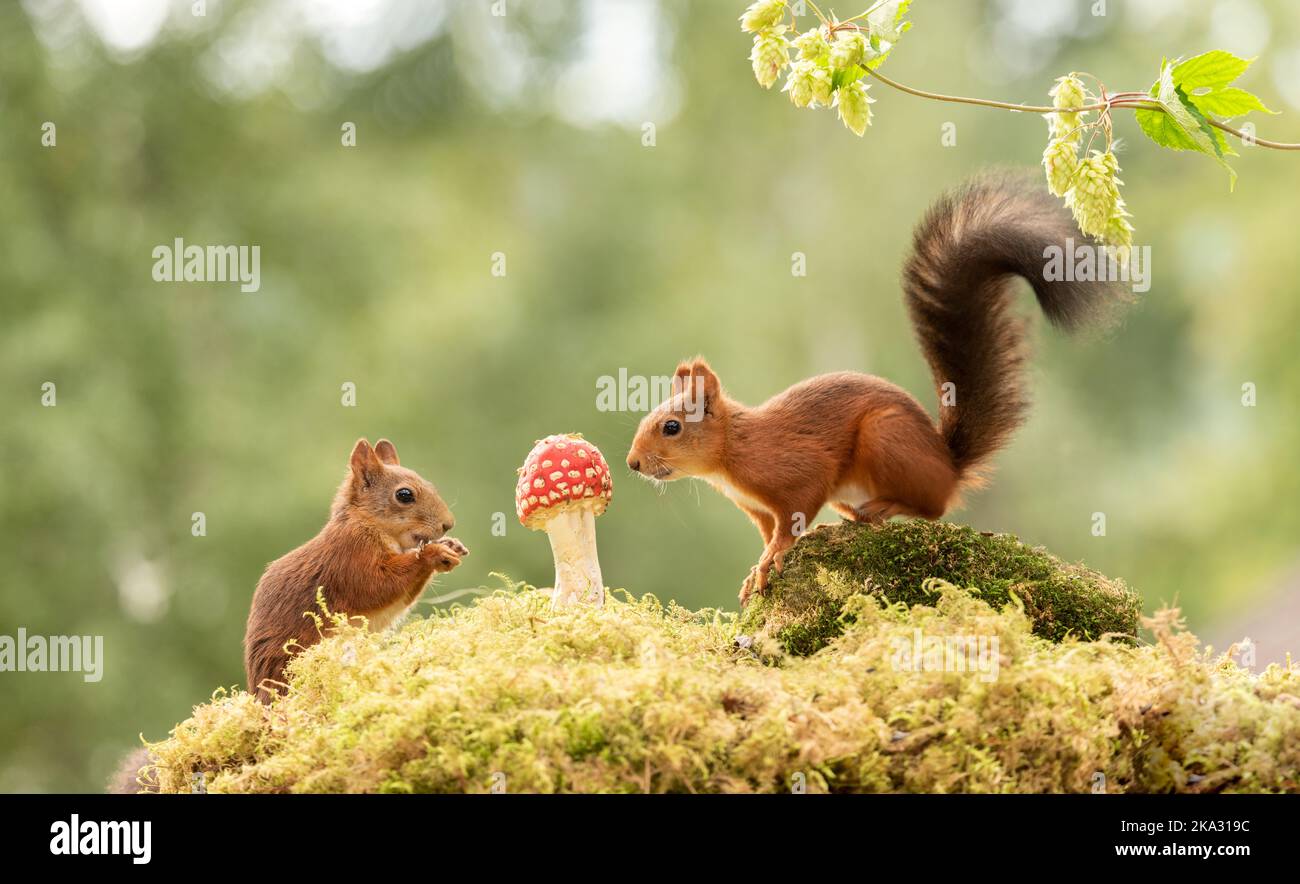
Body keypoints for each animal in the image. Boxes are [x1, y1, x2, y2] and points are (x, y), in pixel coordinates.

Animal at [244, 439, 467, 702]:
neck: (368, 522)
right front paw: (433, 554)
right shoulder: (351, 557)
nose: (448, 524)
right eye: (404, 495)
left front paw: (452, 545)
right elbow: (378, 586)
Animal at [626, 179, 1118, 608]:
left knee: (932, 508)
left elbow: (792, 520)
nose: (632, 464)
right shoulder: (757, 509)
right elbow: (769, 532)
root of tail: (948, 466)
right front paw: (756, 570)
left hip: (885, 438)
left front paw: (773, 559)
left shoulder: (797, 473)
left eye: (671, 427)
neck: (731, 453)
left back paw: (879, 509)